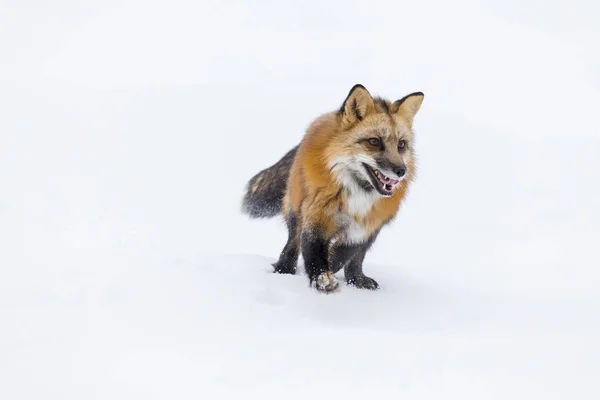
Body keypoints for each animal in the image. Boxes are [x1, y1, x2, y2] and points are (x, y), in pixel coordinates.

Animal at [241, 84, 424, 292]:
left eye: (401, 144)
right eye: (374, 141)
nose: (401, 171)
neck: (358, 193)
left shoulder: (367, 226)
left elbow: (346, 254)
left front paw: (337, 268)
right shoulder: (316, 216)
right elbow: (314, 252)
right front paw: (322, 278)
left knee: (356, 260)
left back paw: (356, 279)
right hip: (296, 208)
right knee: (292, 244)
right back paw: (284, 269)